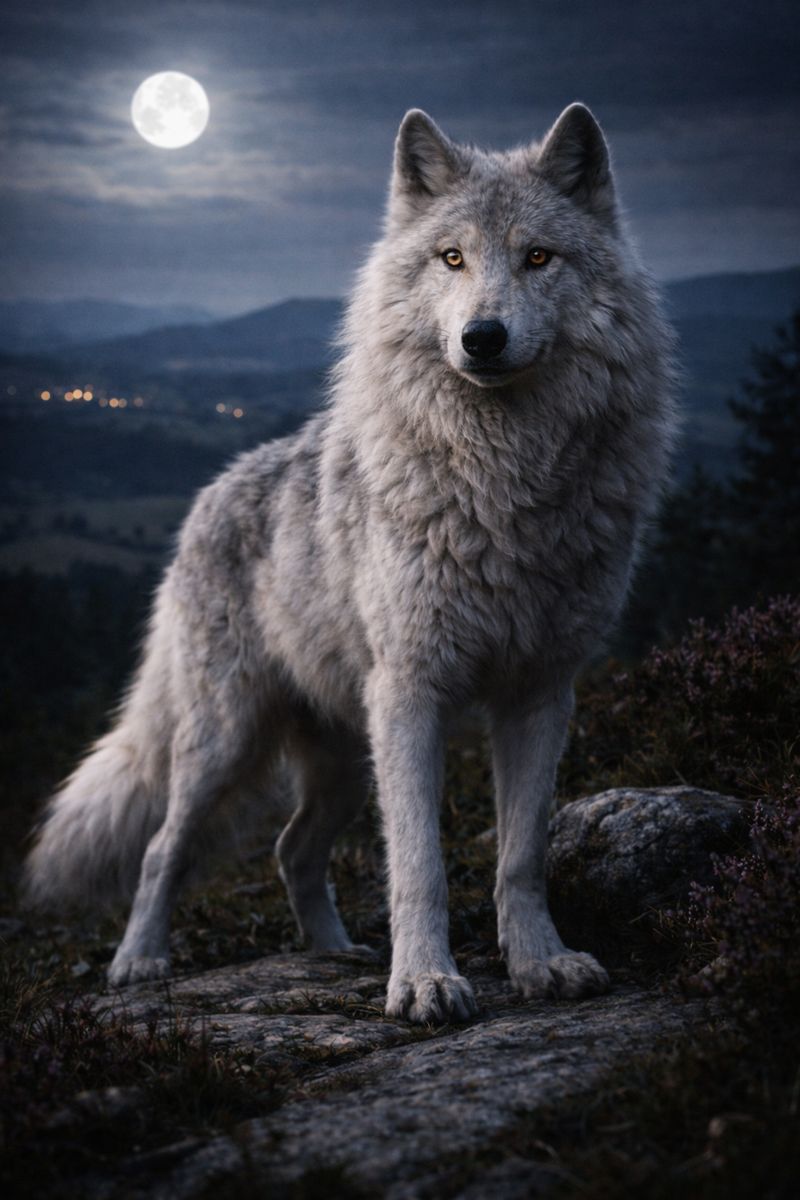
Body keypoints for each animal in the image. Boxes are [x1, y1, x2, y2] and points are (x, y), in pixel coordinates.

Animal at [24, 104, 676, 1024]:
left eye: (538, 257)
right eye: (451, 258)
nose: (482, 338)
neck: (504, 481)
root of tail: (207, 495)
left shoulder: (541, 692)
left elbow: (520, 854)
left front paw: (540, 964)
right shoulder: (410, 692)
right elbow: (419, 863)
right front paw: (426, 983)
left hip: (340, 759)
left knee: (292, 850)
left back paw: (334, 955)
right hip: (225, 742)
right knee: (162, 848)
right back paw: (140, 963)